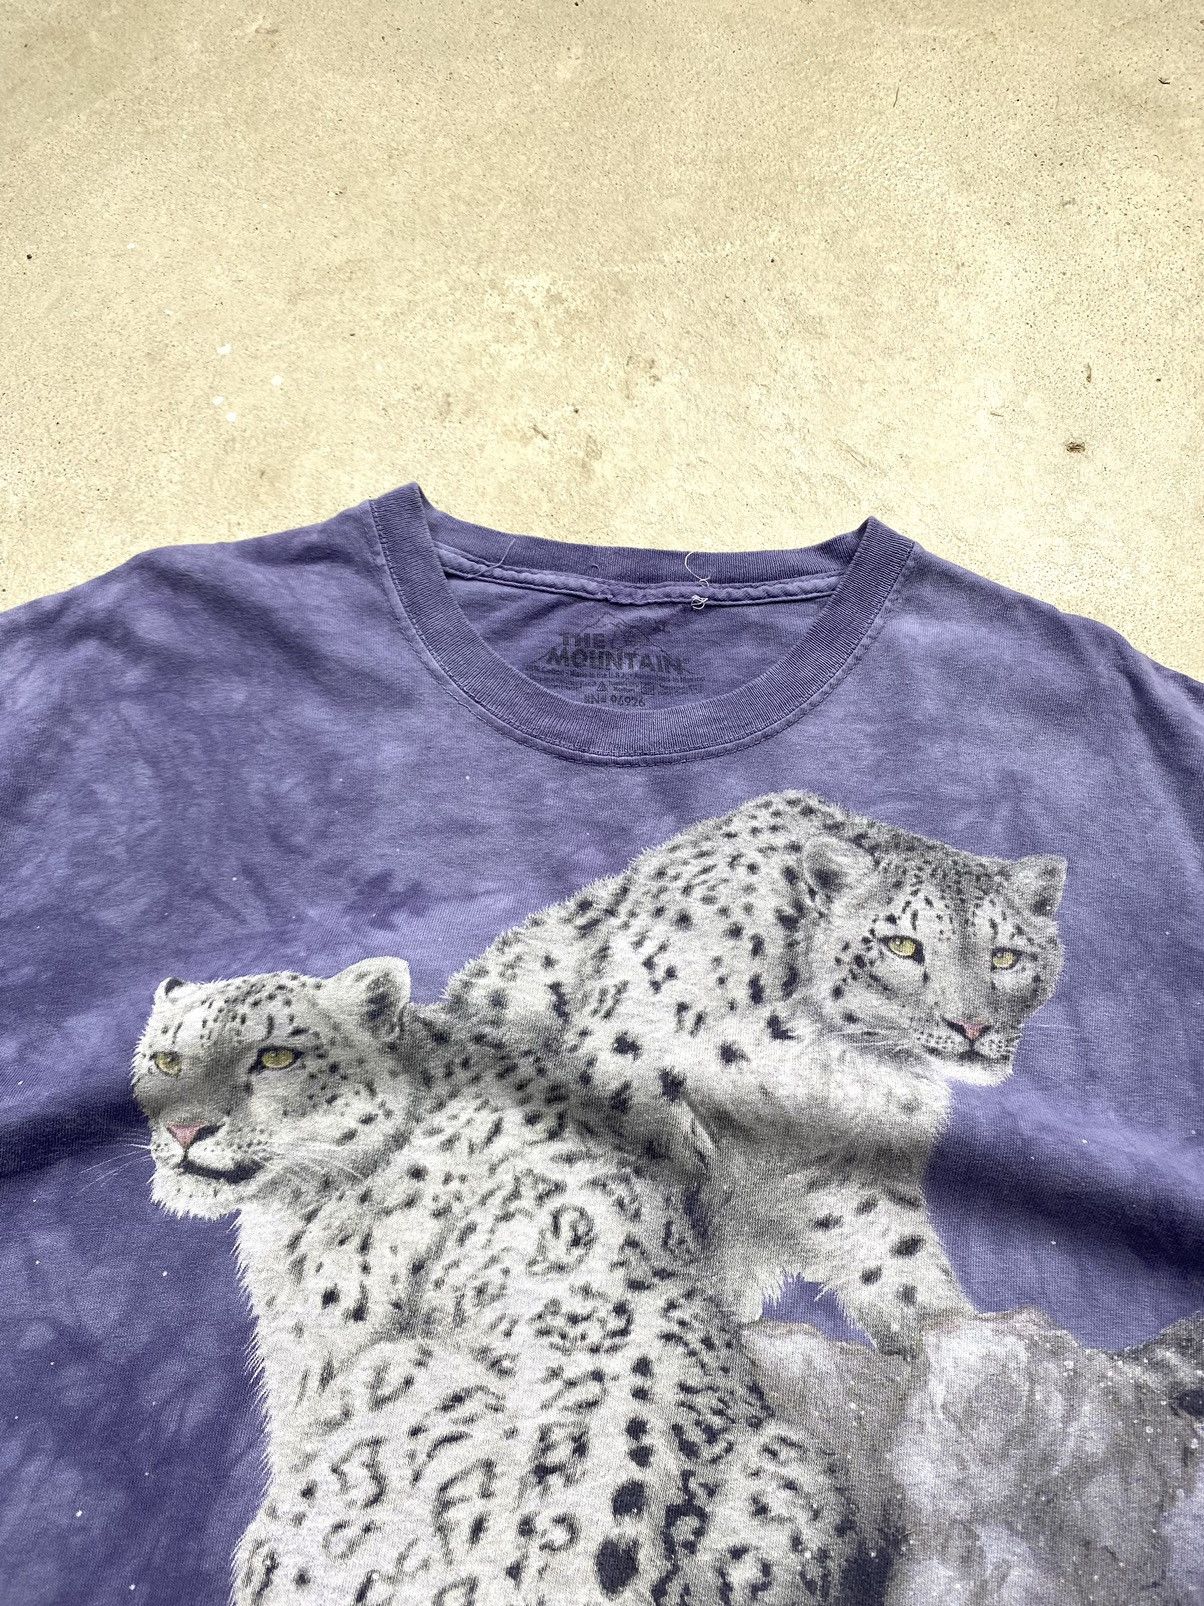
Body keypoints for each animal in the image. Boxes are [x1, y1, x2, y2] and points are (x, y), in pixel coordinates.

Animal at [438, 789, 1068, 1354]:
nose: (972, 1026)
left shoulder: (844, 1153)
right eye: (903, 945)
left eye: (1006, 956)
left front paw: (952, 1327)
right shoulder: (623, 1067)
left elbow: (890, 1246)